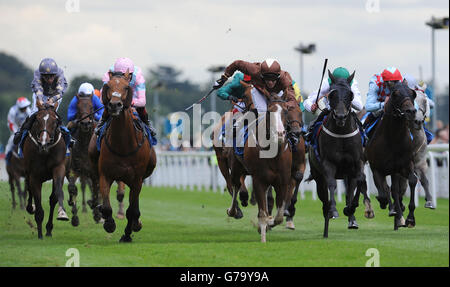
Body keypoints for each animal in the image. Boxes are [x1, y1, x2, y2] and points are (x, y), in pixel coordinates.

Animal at [22, 103, 68, 241]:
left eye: (55, 121)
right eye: (37, 120)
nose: (44, 141)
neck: (45, 151)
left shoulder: (59, 168)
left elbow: (56, 195)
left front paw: (62, 213)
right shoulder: (34, 176)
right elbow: (37, 201)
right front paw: (40, 234)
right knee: (29, 190)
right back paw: (30, 208)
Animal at [89, 71, 157, 243]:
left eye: (127, 87)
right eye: (108, 86)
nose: (115, 105)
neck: (123, 145)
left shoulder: (137, 178)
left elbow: (131, 210)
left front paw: (127, 234)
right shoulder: (105, 174)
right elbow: (107, 206)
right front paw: (109, 223)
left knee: (134, 204)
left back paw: (136, 223)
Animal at [310, 71, 370, 238]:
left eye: (350, 94)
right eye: (331, 94)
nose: (341, 116)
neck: (342, 134)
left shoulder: (357, 163)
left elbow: (360, 181)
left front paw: (350, 209)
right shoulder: (328, 164)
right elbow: (331, 184)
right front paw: (334, 210)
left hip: (347, 173)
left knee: (350, 189)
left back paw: (351, 217)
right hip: (317, 175)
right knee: (324, 197)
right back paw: (327, 219)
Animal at [366, 79, 418, 232]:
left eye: (413, 93)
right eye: (395, 94)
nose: (411, 111)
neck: (393, 139)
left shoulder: (404, 166)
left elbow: (412, 180)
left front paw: (410, 218)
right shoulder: (377, 168)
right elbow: (384, 190)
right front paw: (387, 205)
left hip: (395, 172)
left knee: (395, 190)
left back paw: (399, 216)